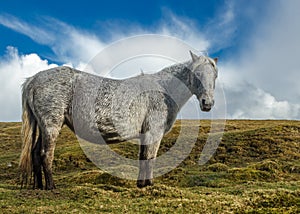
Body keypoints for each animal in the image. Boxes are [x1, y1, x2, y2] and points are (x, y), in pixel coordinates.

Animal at [19, 51, 219, 189]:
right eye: (196, 74)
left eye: (215, 76)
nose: (207, 103)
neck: (163, 90)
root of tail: (33, 80)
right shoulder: (154, 133)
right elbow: (151, 158)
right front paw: (149, 185)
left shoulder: (144, 134)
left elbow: (143, 158)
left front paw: (141, 184)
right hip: (51, 125)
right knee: (45, 154)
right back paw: (51, 186)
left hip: (41, 126)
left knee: (35, 153)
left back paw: (39, 186)